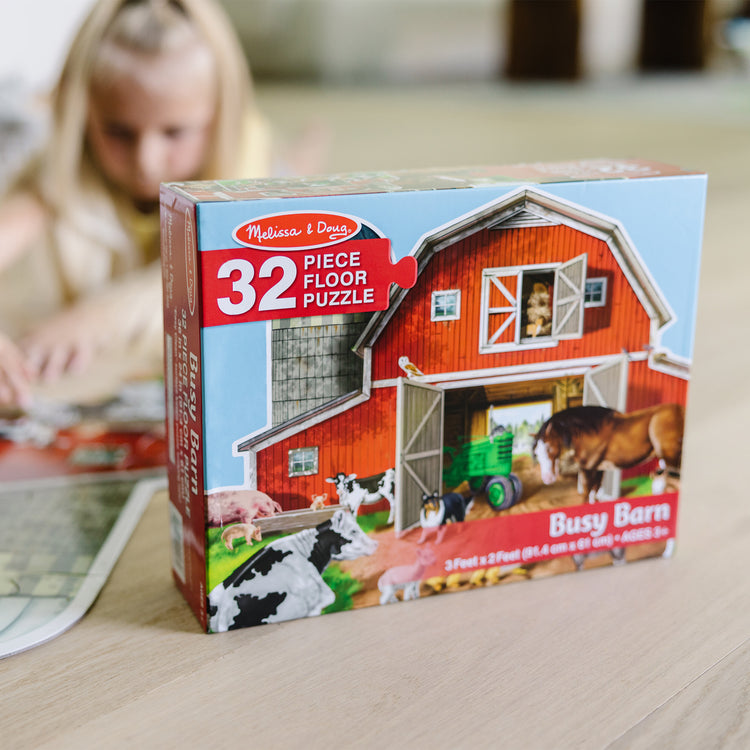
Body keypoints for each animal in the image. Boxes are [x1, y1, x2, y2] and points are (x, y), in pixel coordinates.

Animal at [536, 406, 688, 506]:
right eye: (536, 453)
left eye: (548, 447)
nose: (547, 478)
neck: (590, 432)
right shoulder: (598, 469)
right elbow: (594, 492)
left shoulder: (587, 469)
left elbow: (586, 493)